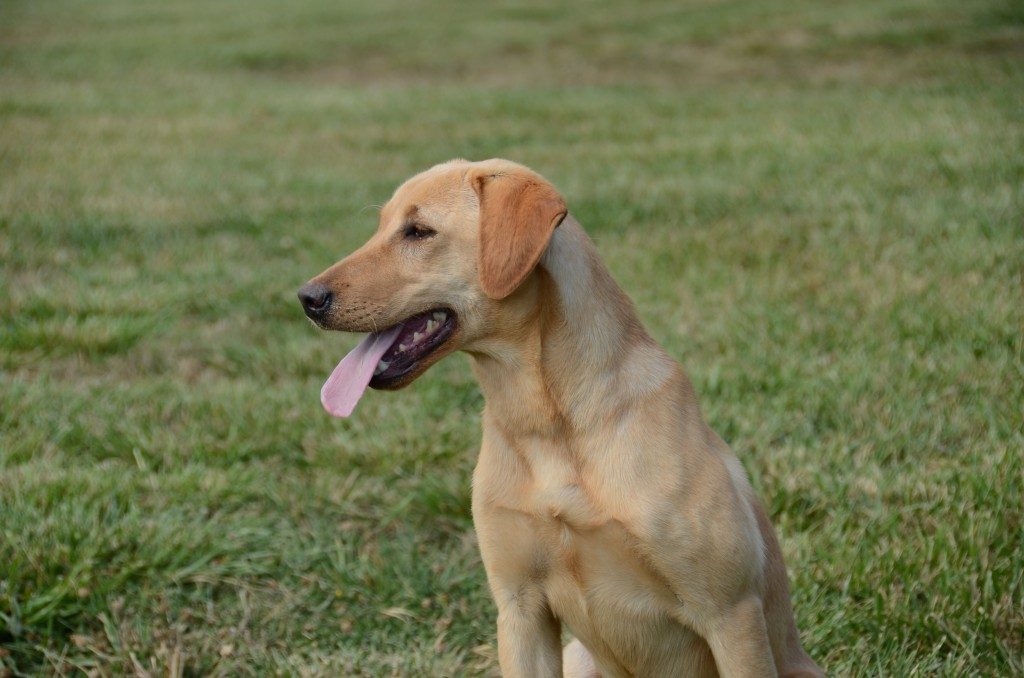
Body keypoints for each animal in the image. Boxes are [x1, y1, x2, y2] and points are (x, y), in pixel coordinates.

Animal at [299, 160, 823, 678]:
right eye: (380, 226)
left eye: (418, 231)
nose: (307, 298)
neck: (552, 425)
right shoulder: (520, 608)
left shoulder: (730, 613)